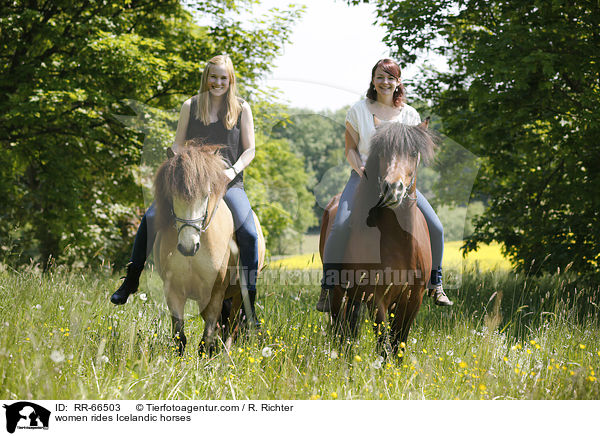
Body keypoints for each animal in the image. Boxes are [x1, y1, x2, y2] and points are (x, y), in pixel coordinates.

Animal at [152, 145, 264, 356]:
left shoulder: (216, 293)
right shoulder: (173, 291)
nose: (188, 246)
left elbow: (207, 340)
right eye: (173, 195)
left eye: (206, 195)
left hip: (239, 294)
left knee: (232, 327)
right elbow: (180, 337)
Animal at [318, 117, 436, 356]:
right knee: (338, 327)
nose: (393, 189)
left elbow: (399, 343)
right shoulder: (376, 297)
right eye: (382, 151)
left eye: (413, 152)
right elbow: (384, 345)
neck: (399, 242)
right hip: (338, 292)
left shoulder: (413, 298)